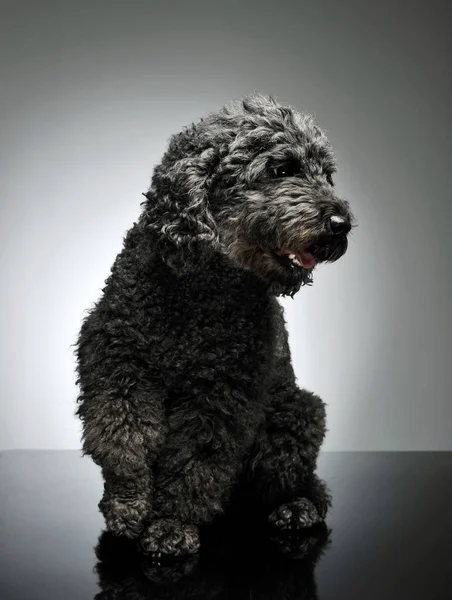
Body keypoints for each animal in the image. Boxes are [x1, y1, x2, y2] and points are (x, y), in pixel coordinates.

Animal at [75, 92, 356, 556]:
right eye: (281, 169)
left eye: (327, 175)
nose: (341, 224)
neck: (199, 290)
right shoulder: (119, 363)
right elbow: (125, 439)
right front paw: (127, 504)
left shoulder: (220, 394)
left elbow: (194, 462)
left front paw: (171, 524)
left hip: (296, 415)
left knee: (307, 485)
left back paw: (296, 508)